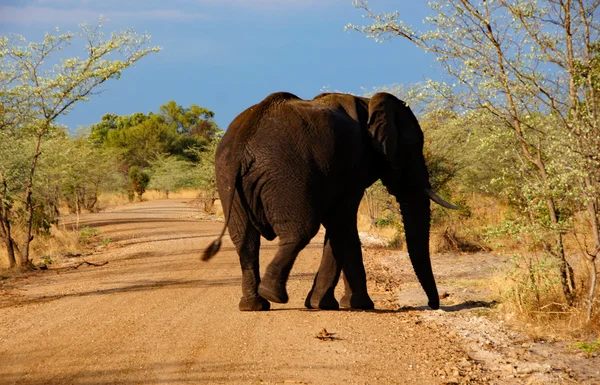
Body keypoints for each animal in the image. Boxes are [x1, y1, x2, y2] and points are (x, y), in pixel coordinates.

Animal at [202, 91, 454, 310]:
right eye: (414, 149)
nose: (433, 304)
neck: (368, 104)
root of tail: (243, 139)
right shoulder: (353, 166)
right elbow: (342, 225)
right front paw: (343, 305)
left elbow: (341, 229)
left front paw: (338, 304)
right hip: (286, 174)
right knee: (300, 231)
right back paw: (273, 295)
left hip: (227, 175)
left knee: (245, 239)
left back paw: (254, 306)